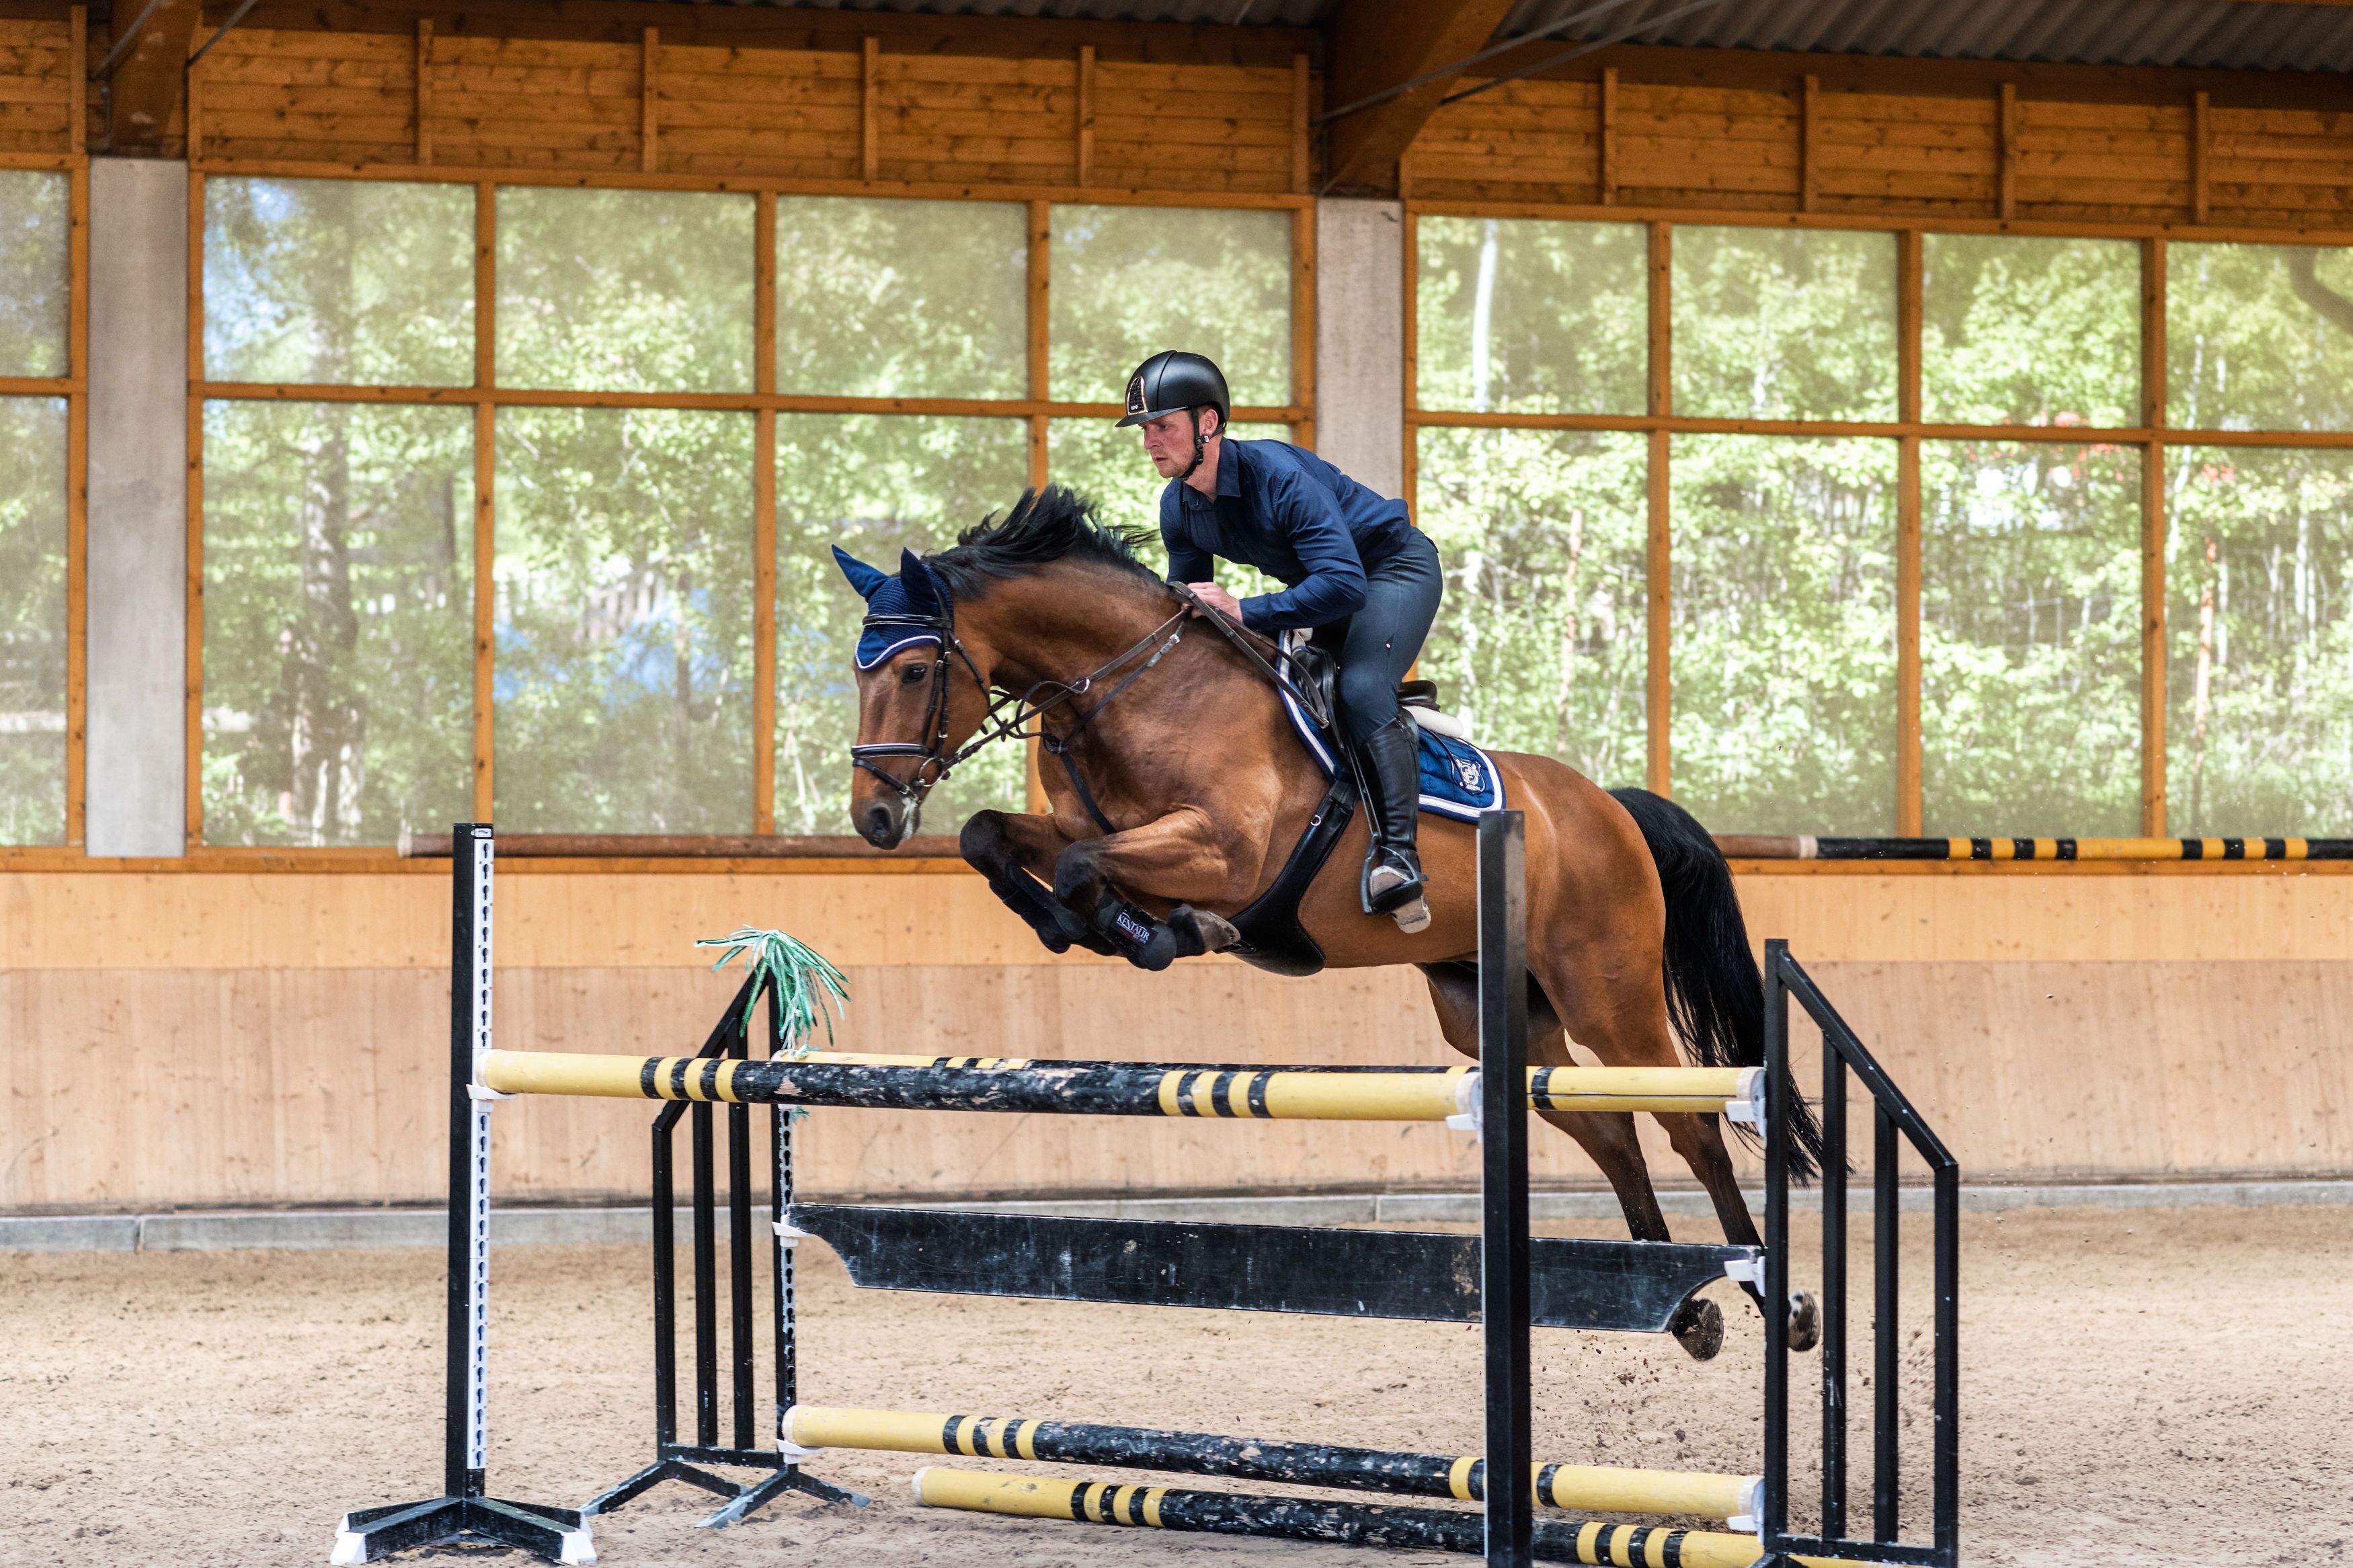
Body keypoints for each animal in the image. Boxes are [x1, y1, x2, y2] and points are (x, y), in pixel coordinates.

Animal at [832, 488, 1825, 1359]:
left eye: (914, 669)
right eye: (857, 668)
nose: (872, 818)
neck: (1136, 689)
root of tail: (1609, 806)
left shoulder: (1224, 855)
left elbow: (1088, 872)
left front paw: (1165, 932)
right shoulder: (1088, 828)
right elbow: (993, 836)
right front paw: (1086, 927)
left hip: (1606, 991)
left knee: (1687, 1121)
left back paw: (1775, 1299)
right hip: (1490, 1005)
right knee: (1609, 1126)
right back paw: (1680, 1305)